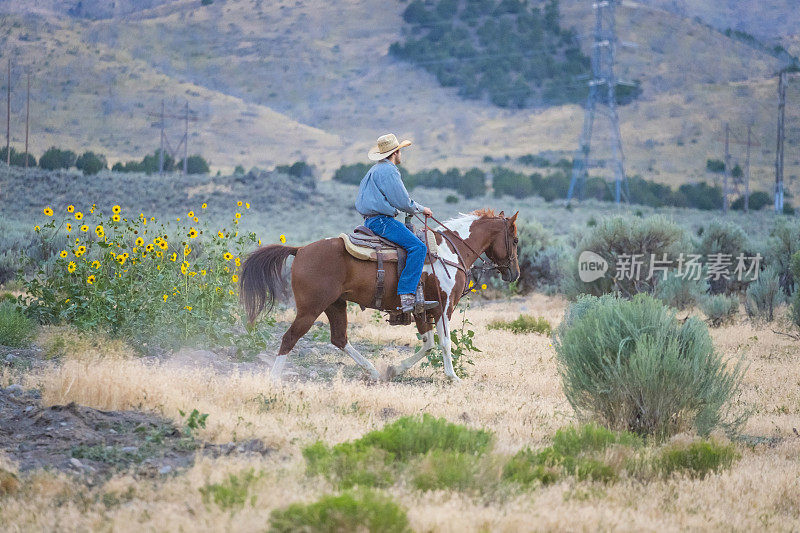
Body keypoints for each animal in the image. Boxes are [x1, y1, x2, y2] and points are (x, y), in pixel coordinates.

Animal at [239, 209, 520, 382]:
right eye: (515, 240)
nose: (514, 273)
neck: (449, 251)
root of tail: (300, 249)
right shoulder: (443, 307)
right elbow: (444, 343)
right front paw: (453, 377)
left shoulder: (421, 309)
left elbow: (428, 344)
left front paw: (394, 369)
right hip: (310, 308)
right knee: (290, 338)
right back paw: (274, 379)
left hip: (335, 304)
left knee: (339, 338)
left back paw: (373, 371)